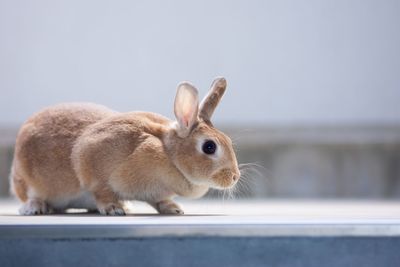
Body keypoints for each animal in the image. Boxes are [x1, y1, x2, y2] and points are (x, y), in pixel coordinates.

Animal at [10, 77, 241, 216]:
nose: (234, 177)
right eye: (209, 147)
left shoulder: (155, 193)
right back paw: (35, 208)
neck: (168, 154)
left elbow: (160, 201)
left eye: (229, 141)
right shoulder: (92, 160)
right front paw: (113, 209)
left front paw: (174, 209)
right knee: (30, 196)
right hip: (28, 181)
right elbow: (101, 190)